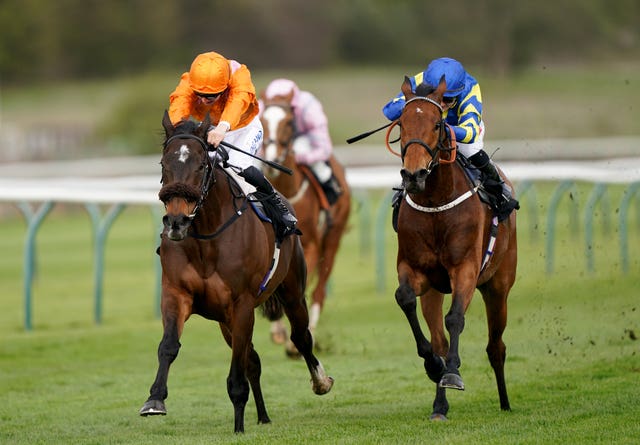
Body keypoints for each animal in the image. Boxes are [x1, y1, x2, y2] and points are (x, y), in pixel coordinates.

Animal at [138, 111, 332, 434]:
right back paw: (263, 416)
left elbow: (237, 373)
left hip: (292, 292)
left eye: (201, 165)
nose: (177, 222)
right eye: (164, 164)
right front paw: (155, 400)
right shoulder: (177, 294)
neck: (206, 238)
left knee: (301, 337)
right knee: (252, 359)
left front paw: (238, 426)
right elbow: (168, 346)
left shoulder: (241, 304)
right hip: (224, 320)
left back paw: (320, 382)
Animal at [258, 93, 350, 344]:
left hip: (333, 238)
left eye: (289, 122)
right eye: (262, 120)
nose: (271, 158)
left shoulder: (311, 245)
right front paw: (277, 330)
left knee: (319, 289)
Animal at [392, 76, 516, 420]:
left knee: (496, 347)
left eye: (437, 124)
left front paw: (452, 373)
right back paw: (439, 405)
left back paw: (505, 402)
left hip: (498, 286)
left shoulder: (466, 270)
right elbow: (405, 298)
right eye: (402, 124)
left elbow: (456, 318)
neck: (436, 202)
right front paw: (435, 366)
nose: (414, 174)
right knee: (440, 339)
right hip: (435, 291)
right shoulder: (415, 270)